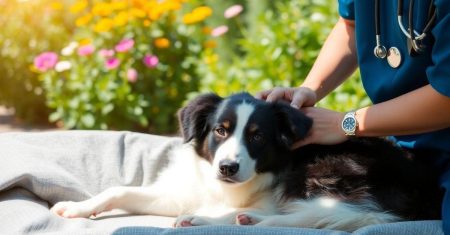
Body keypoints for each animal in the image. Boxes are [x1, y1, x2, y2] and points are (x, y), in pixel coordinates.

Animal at [51, 92, 442, 231]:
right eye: (220, 131)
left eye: (257, 137)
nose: (227, 168)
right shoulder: (177, 193)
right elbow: (118, 189)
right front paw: (75, 207)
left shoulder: (275, 189)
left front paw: (210, 215)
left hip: (322, 173)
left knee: (307, 217)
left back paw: (228, 219)